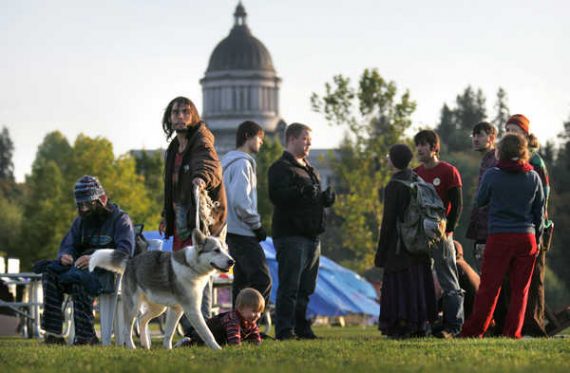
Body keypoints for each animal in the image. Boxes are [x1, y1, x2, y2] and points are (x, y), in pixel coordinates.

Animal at [87, 227, 232, 348]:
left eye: (226, 250)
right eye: (216, 250)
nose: (232, 261)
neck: (192, 267)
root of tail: (130, 261)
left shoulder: (176, 309)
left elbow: (169, 333)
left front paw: (168, 349)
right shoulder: (192, 309)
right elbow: (207, 333)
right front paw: (218, 349)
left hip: (158, 308)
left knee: (142, 319)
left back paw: (146, 344)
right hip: (133, 307)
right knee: (127, 329)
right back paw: (131, 347)